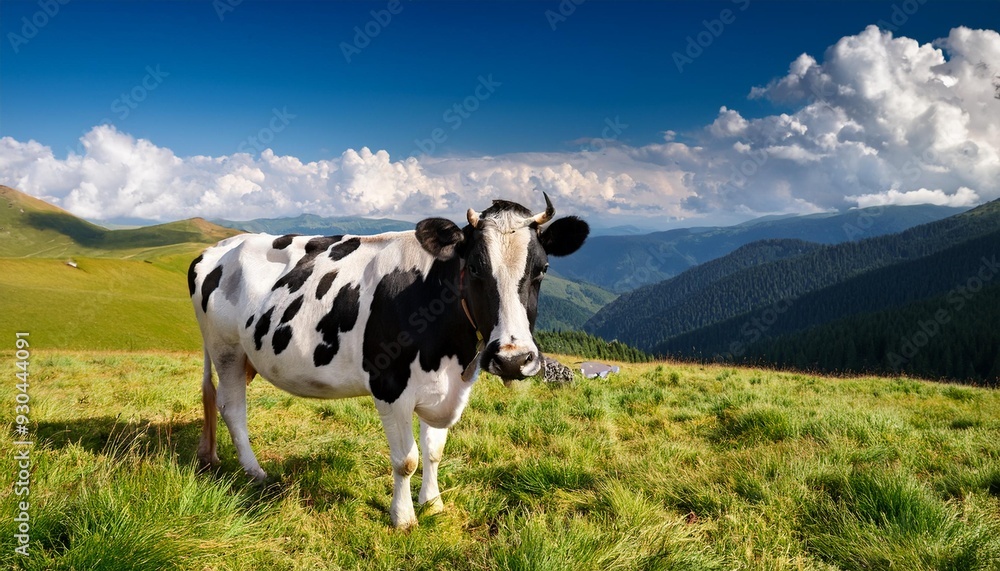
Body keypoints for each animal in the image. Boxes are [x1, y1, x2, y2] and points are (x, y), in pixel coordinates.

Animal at [188, 193, 588, 528]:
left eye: (542, 269)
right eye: (475, 267)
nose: (513, 359)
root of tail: (219, 247)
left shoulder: (444, 385)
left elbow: (434, 451)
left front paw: (433, 504)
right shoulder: (389, 385)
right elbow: (406, 460)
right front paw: (403, 518)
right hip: (226, 348)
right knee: (232, 407)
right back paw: (255, 472)